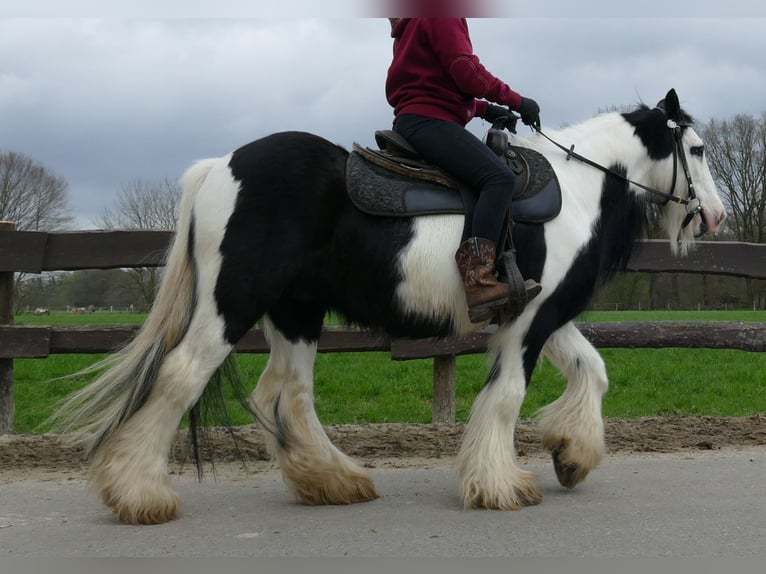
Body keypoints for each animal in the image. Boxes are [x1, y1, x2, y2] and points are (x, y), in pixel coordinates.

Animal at [55, 88, 728, 524]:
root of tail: (219, 167)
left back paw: (333, 480)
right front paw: (501, 484)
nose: (717, 217)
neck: (578, 188)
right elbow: (508, 393)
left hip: (297, 312)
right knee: (180, 376)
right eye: (695, 150)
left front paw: (572, 454)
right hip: (232, 304)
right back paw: (139, 495)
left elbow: (593, 368)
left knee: (287, 394)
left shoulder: (536, 313)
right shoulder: (530, 321)